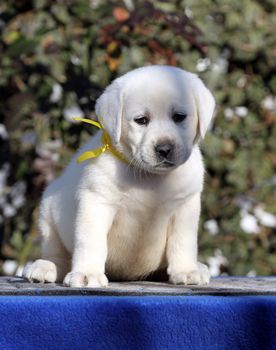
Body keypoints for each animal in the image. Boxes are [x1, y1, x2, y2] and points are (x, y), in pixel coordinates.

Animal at [23, 65, 216, 288]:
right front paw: (87, 273)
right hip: (48, 215)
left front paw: (186, 270)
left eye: (179, 117)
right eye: (141, 120)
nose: (164, 149)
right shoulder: (96, 203)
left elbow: (184, 241)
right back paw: (45, 267)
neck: (150, 178)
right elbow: (91, 241)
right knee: (58, 255)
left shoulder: (185, 207)